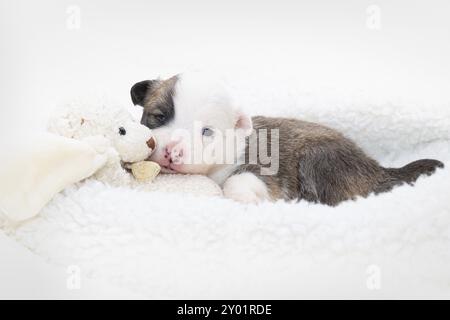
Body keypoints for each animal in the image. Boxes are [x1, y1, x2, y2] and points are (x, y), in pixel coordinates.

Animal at [129, 72, 442, 205]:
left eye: (207, 132)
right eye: (159, 117)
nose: (171, 151)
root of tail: (377, 169)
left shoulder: (265, 170)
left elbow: (239, 180)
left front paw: (243, 197)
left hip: (319, 158)